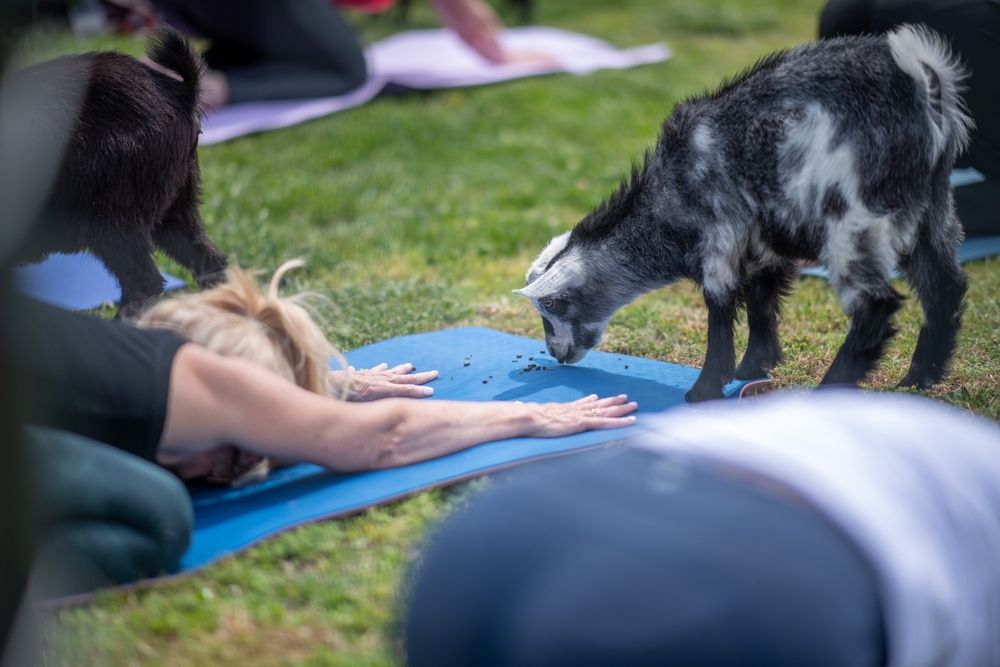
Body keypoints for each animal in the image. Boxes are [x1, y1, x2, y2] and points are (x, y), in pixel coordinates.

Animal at [520, 24, 972, 402]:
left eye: (553, 307)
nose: (556, 354)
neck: (669, 197)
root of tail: (919, 77)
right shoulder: (761, 247)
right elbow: (760, 303)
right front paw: (752, 367)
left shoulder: (721, 235)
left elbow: (720, 308)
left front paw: (706, 388)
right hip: (932, 208)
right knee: (945, 286)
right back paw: (919, 378)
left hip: (853, 216)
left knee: (874, 305)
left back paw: (831, 388)